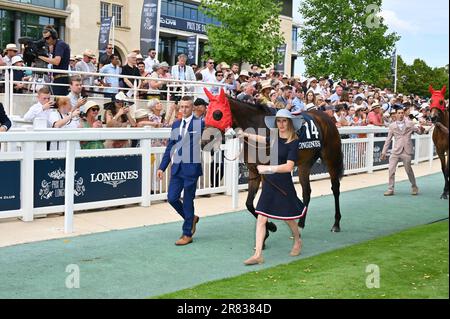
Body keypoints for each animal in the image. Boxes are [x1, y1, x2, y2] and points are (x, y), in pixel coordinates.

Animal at [201, 89, 344, 241]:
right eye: (206, 112)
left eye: (217, 114)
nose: (203, 143)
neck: (258, 128)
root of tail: (326, 117)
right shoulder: (254, 171)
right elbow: (249, 204)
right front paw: (268, 230)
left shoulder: (267, 171)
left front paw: (268, 229)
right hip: (305, 163)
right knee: (307, 192)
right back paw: (300, 225)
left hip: (331, 157)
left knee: (335, 188)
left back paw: (336, 223)